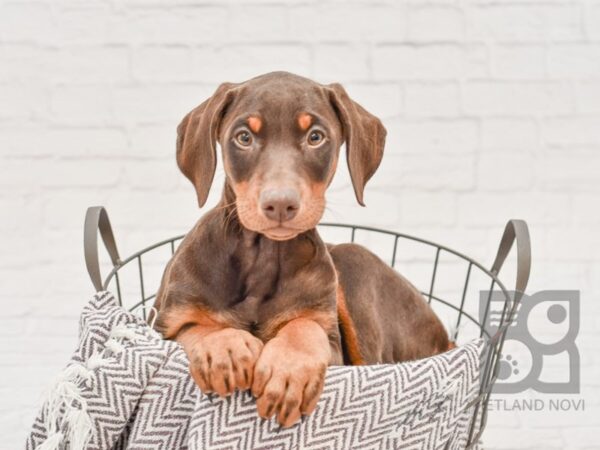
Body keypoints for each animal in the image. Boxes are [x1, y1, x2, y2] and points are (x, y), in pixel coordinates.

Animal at [152, 72, 452, 428]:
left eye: (315, 136)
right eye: (243, 137)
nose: (280, 204)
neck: (264, 257)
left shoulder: (334, 347)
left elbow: (306, 326)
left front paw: (289, 372)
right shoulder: (162, 325)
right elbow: (195, 328)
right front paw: (224, 348)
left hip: (353, 263)